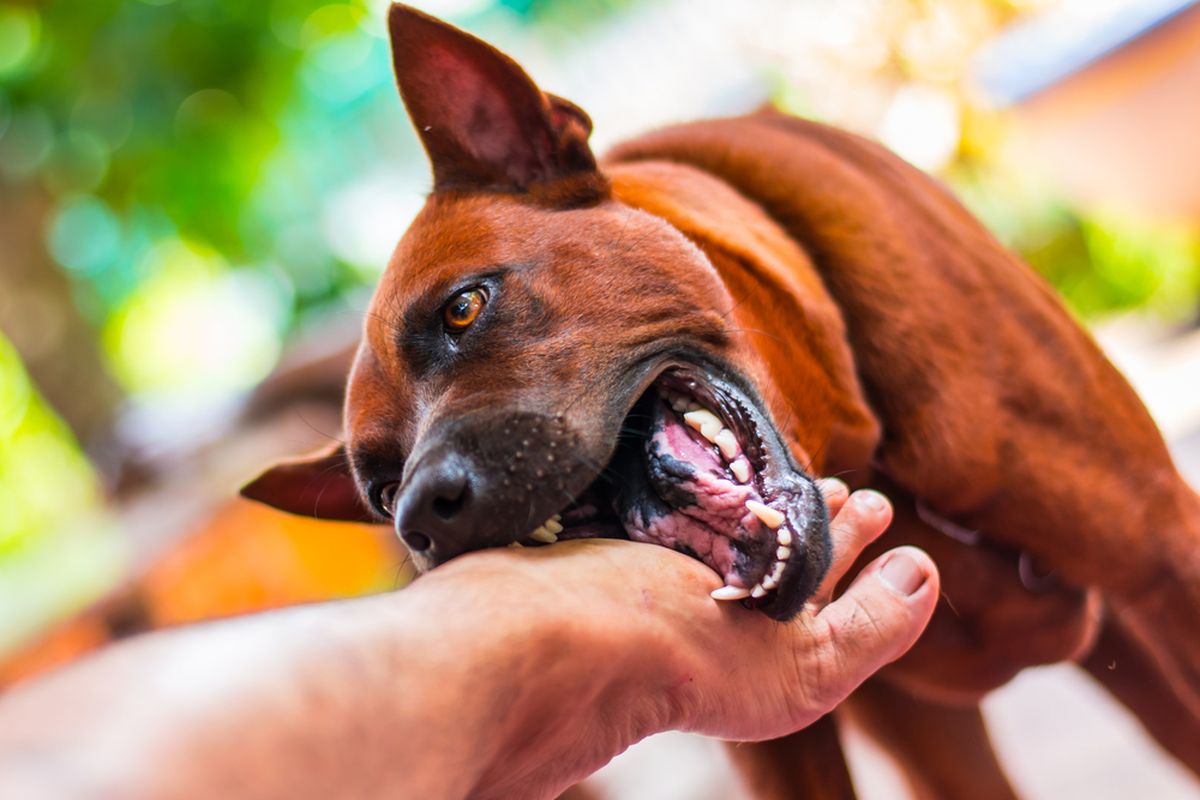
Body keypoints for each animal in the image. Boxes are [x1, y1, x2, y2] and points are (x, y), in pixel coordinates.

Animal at [241, 4, 1200, 796]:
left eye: (463, 308)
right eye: (375, 490)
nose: (419, 519)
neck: (864, 447)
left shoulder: (1166, 569)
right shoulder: (789, 735)